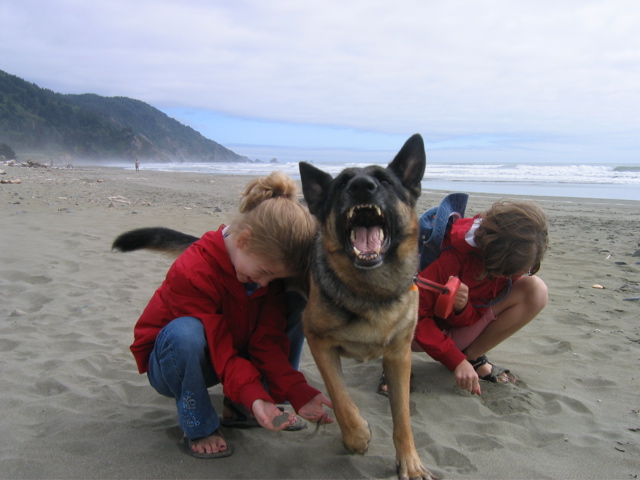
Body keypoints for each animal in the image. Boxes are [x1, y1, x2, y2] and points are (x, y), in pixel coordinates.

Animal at [298, 134, 433, 480]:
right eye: (342, 184)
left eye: (384, 181)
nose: (361, 186)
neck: (372, 291)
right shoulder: (317, 340)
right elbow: (339, 396)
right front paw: (357, 436)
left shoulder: (398, 356)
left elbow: (403, 418)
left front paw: (410, 462)